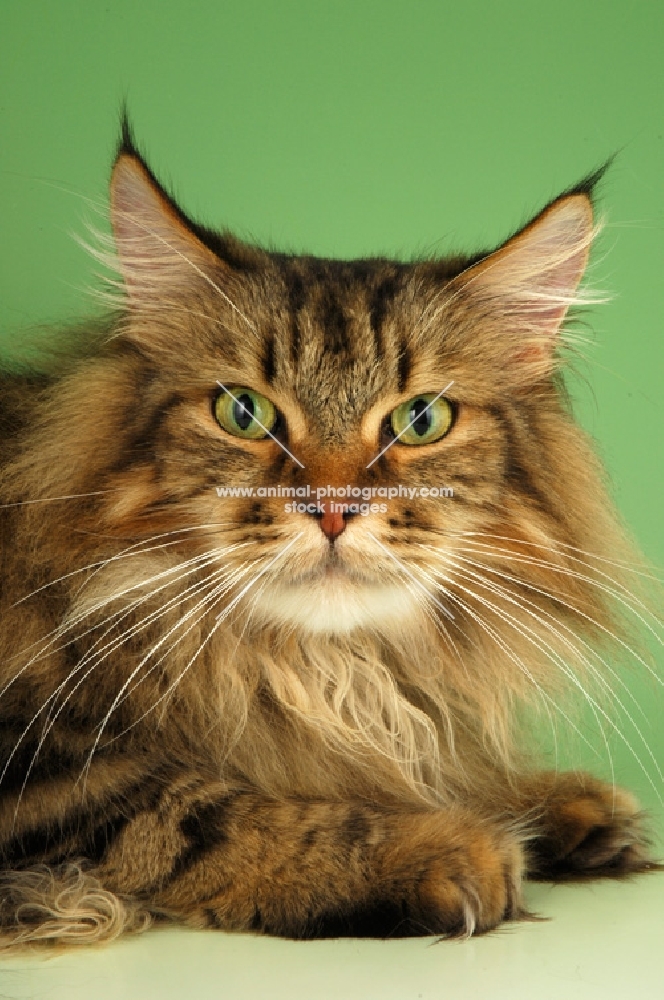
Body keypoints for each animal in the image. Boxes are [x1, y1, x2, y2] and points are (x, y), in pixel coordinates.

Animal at [0, 121, 656, 948]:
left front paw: (549, 802)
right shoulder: (44, 767)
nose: (334, 509)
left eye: (421, 420)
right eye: (243, 413)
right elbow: (199, 816)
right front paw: (444, 847)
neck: (321, 668)